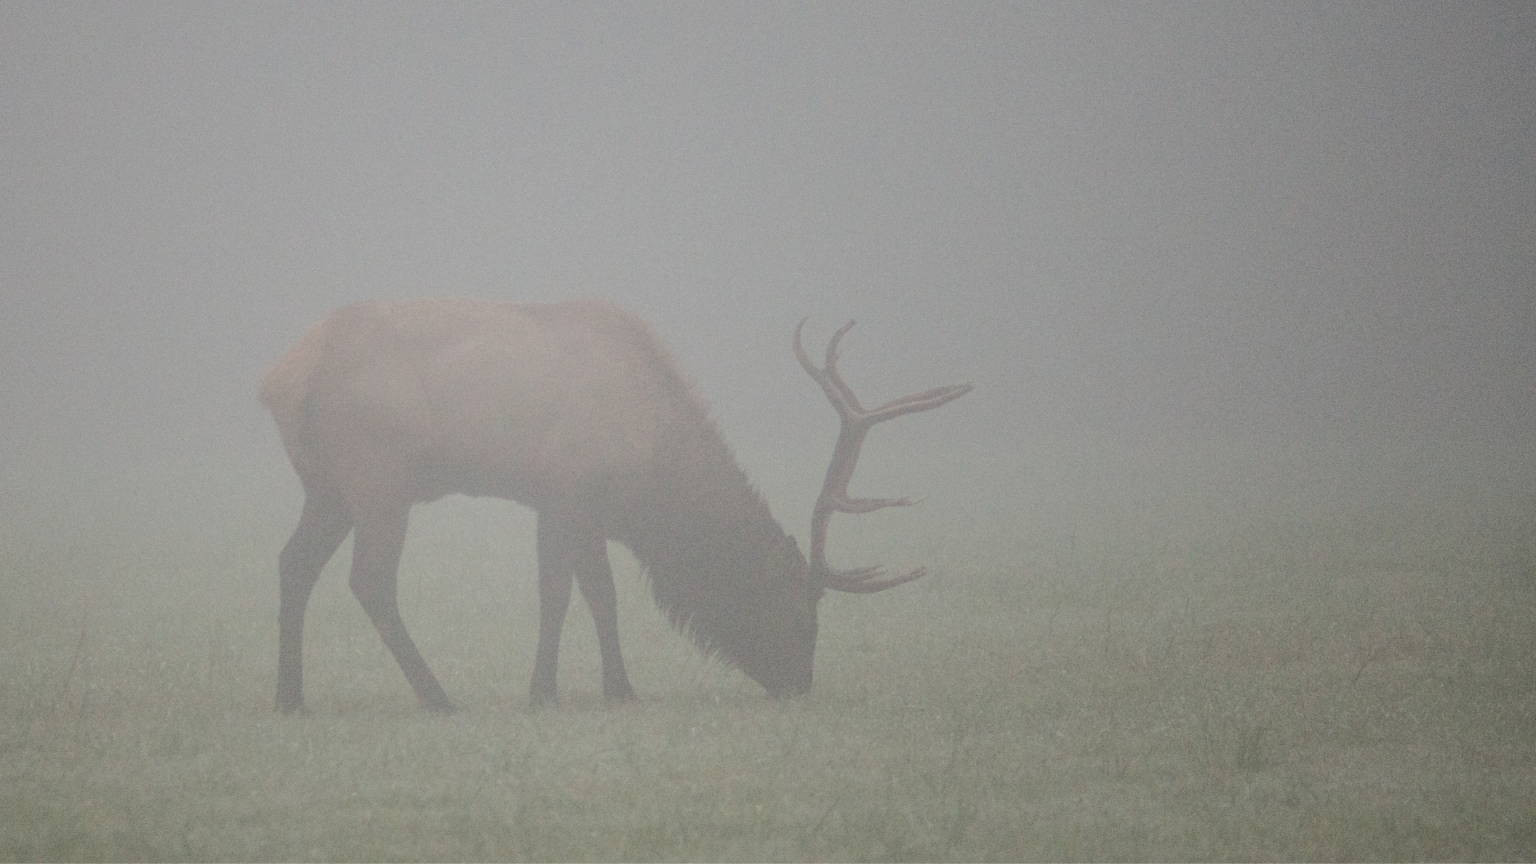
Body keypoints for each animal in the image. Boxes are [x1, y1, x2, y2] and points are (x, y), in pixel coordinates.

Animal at [258, 299, 964, 710]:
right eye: (798, 608)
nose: (799, 683)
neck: (647, 477)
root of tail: (278, 380)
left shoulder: (573, 506)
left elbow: (587, 591)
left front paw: (596, 687)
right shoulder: (567, 493)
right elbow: (571, 592)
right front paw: (565, 691)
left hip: (329, 489)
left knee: (294, 564)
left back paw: (290, 696)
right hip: (379, 478)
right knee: (370, 580)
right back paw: (437, 696)